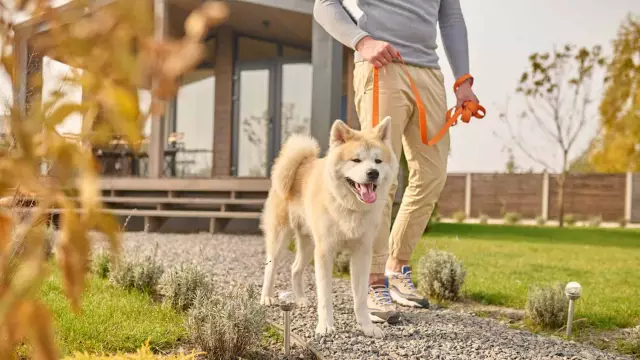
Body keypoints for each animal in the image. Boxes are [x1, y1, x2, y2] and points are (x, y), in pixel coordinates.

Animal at [258, 115, 396, 338]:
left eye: (378, 161)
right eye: (356, 160)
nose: (373, 173)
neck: (349, 207)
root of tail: (302, 162)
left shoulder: (362, 253)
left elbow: (360, 298)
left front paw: (367, 326)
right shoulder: (325, 252)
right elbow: (325, 296)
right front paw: (325, 326)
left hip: (308, 244)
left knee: (295, 269)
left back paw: (300, 299)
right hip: (281, 238)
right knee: (270, 267)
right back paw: (267, 297)